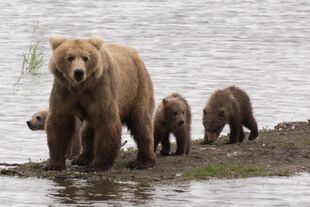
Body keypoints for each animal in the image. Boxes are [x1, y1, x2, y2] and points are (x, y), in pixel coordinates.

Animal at [44, 35, 156, 171]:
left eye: (86, 57)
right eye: (70, 57)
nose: (78, 72)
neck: (80, 88)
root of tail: (135, 54)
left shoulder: (101, 89)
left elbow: (106, 123)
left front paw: (97, 165)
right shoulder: (63, 91)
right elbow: (59, 122)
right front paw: (53, 164)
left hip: (137, 86)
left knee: (140, 122)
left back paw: (143, 161)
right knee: (87, 129)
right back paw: (83, 158)